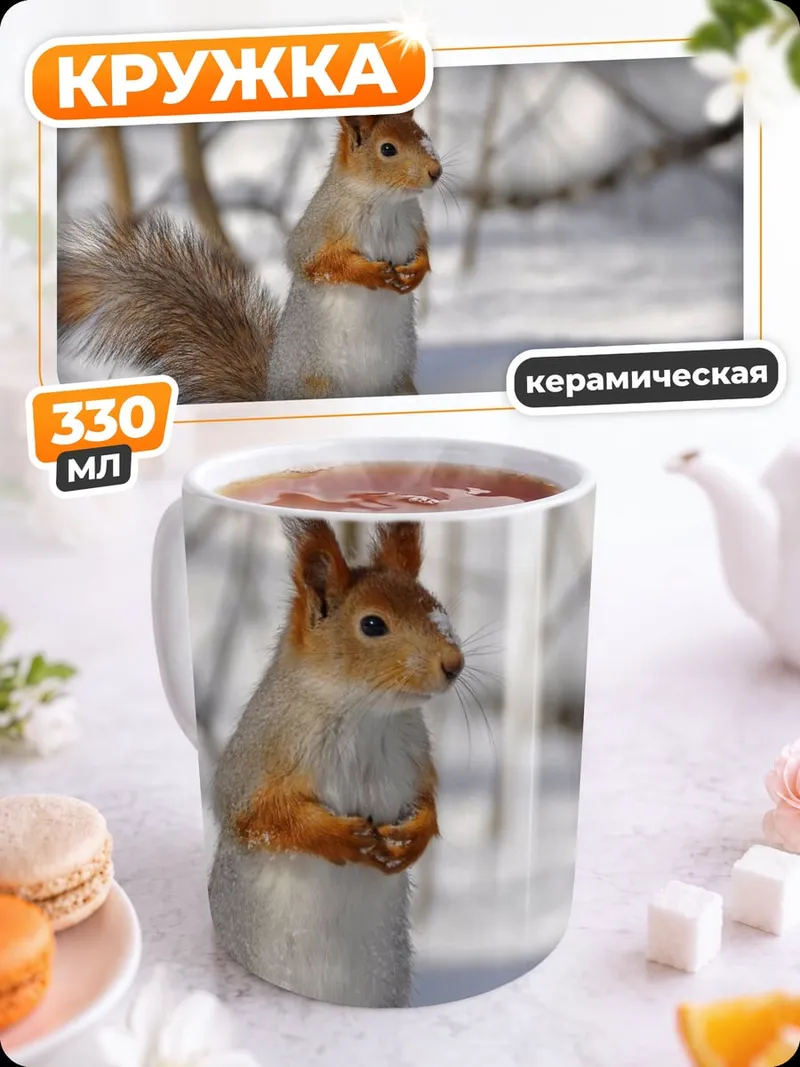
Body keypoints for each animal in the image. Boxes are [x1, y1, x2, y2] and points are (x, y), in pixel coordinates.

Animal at [57, 111, 442, 405]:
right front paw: (373, 274)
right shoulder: (319, 229)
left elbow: (424, 252)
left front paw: (416, 272)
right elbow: (316, 264)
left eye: (425, 136)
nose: (436, 172)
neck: (386, 204)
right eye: (387, 149)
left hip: (401, 387)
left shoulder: (415, 225)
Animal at [208, 517, 464, 1008]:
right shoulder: (259, 759)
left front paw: (413, 837)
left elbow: (427, 799)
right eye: (372, 624)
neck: (364, 714)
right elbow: (261, 817)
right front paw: (339, 837)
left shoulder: (415, 756)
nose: (454, 663)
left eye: (438, 607)